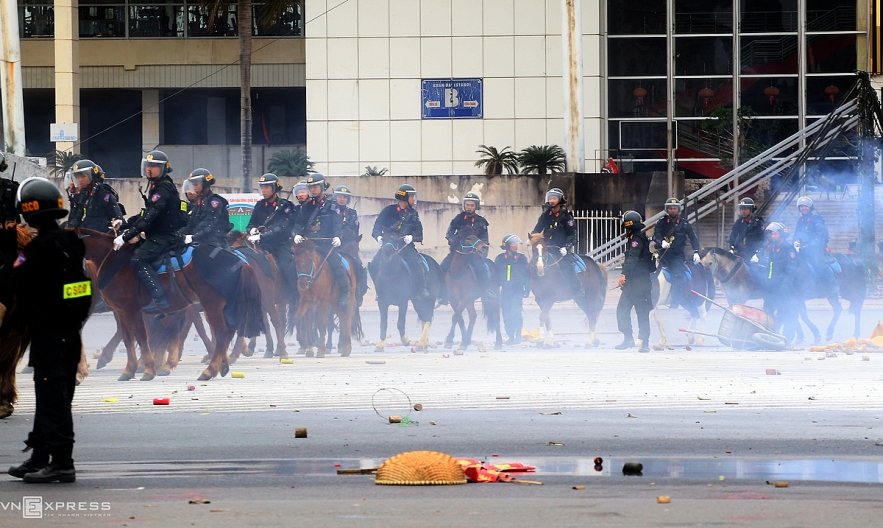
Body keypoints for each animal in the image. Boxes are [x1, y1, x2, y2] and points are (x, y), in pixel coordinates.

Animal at [80, 229, 262, 382]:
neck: (112, 261)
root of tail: (241, 262)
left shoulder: (132, 309)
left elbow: (143, 336)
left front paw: (149, 369)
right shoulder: (122, 311)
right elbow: (129, 338)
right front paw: (130, 369)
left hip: (213, 304)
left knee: (222, 332)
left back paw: (209, 370)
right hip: (224, 305)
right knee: (229, 331)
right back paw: (222, 364)